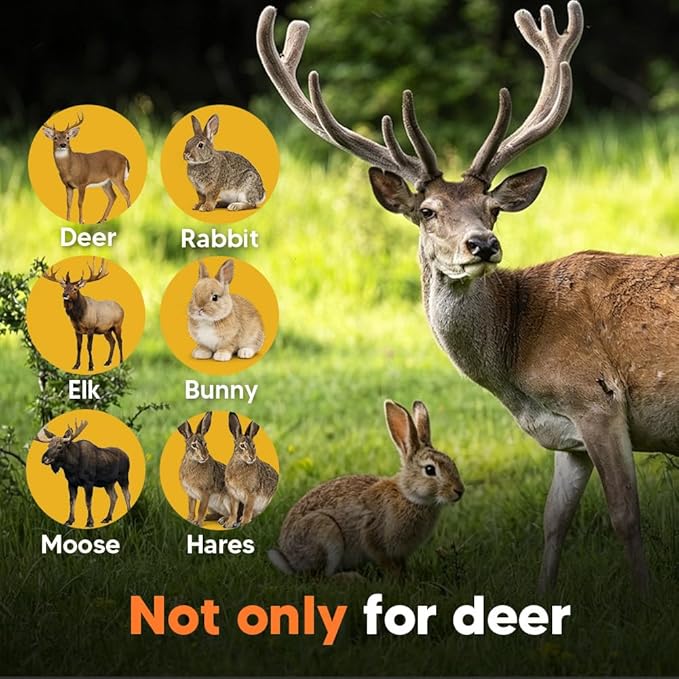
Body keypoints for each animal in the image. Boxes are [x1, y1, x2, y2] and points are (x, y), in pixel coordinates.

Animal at [268, 400, 464, 577]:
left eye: (452, 463)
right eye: (430, 470)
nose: (459, 491)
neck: (408, 496)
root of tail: (289, 559)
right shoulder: (374, 538)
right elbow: (385, 562)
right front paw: (397, 581)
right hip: (325, 531)